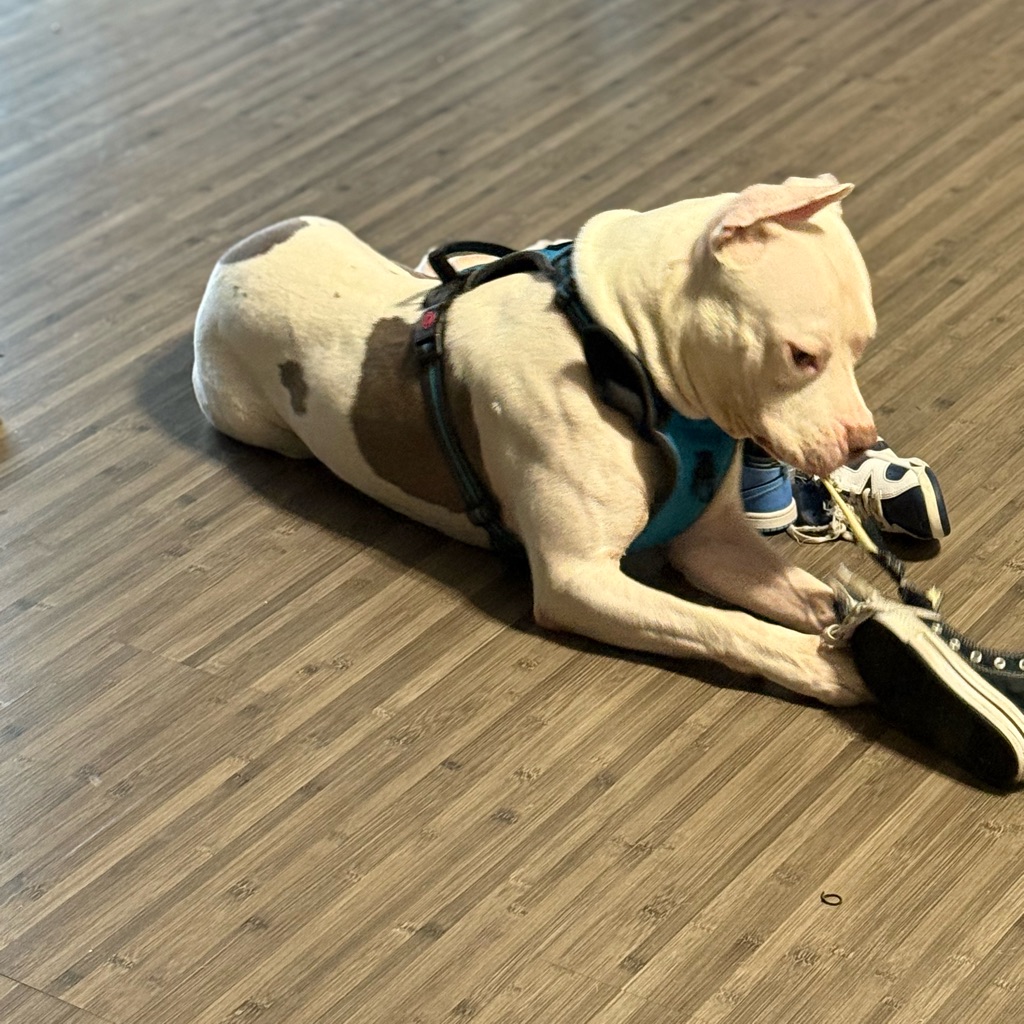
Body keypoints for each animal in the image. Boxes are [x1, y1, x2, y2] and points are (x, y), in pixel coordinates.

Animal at [193, 175, 877, 706]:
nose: (862, 445)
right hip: (248, 418)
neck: (613, 348)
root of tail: (235, 254)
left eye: (863, 345)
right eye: (800, 355)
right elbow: (725, 624)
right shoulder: (576, 582)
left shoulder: (712, 542)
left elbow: (816, 595)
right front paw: (825, 664)